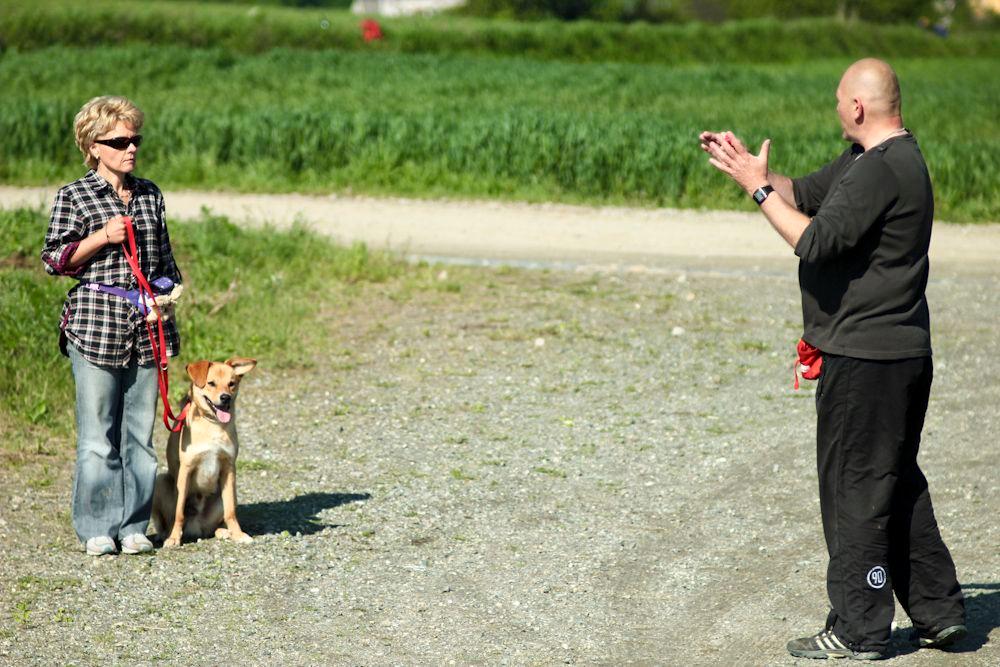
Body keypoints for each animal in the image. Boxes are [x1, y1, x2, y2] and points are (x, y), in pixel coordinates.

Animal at [151, 358, 256, 552]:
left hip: (226, 494)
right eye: (211, 383)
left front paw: (238, 534)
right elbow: (179, 512)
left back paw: (224, 531)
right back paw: (165, 534)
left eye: (231, 383)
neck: (213, 424)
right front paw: (174, 539)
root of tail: (196, 527)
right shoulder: (186, 469)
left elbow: (231, 511)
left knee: (218, 522)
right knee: (166, 522)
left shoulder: (229, 468)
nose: (225, 397)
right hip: (160, 482)